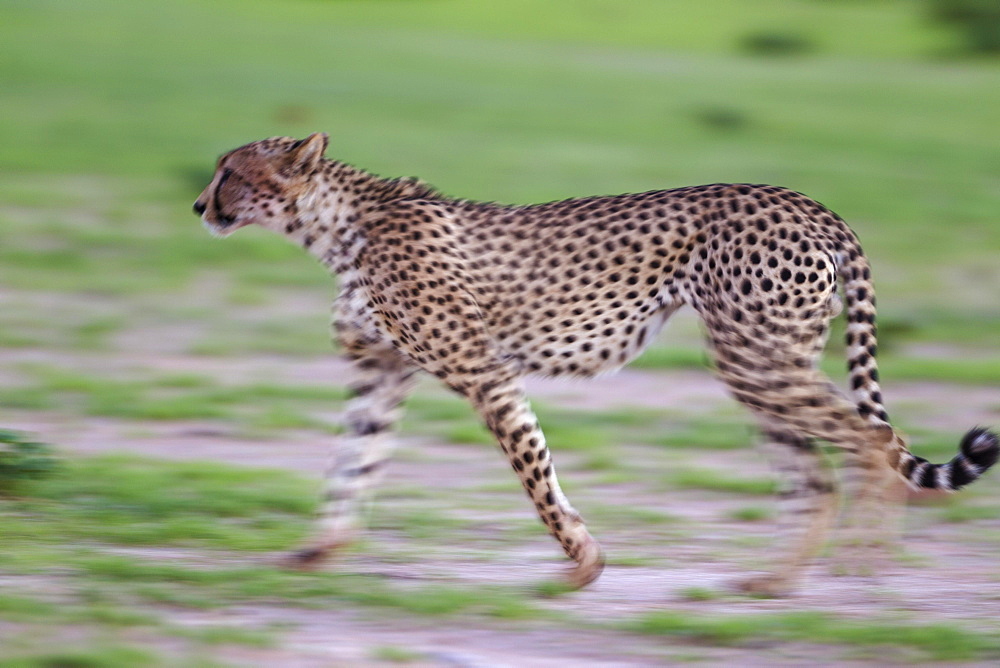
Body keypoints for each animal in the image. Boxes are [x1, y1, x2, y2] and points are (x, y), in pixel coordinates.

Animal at [191, 134, 996, 596]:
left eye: (230, 172)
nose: (200, 204)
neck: (337, 227)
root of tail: (804, 200)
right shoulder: (380, 374)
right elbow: (350, 466)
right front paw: (316, 553)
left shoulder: (483, 372)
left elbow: (536, 477)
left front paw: (583, 562)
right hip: (760, 363)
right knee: (821, 472)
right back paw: (775, 581)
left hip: (756, 357)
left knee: (874, 437)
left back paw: (867, 561)